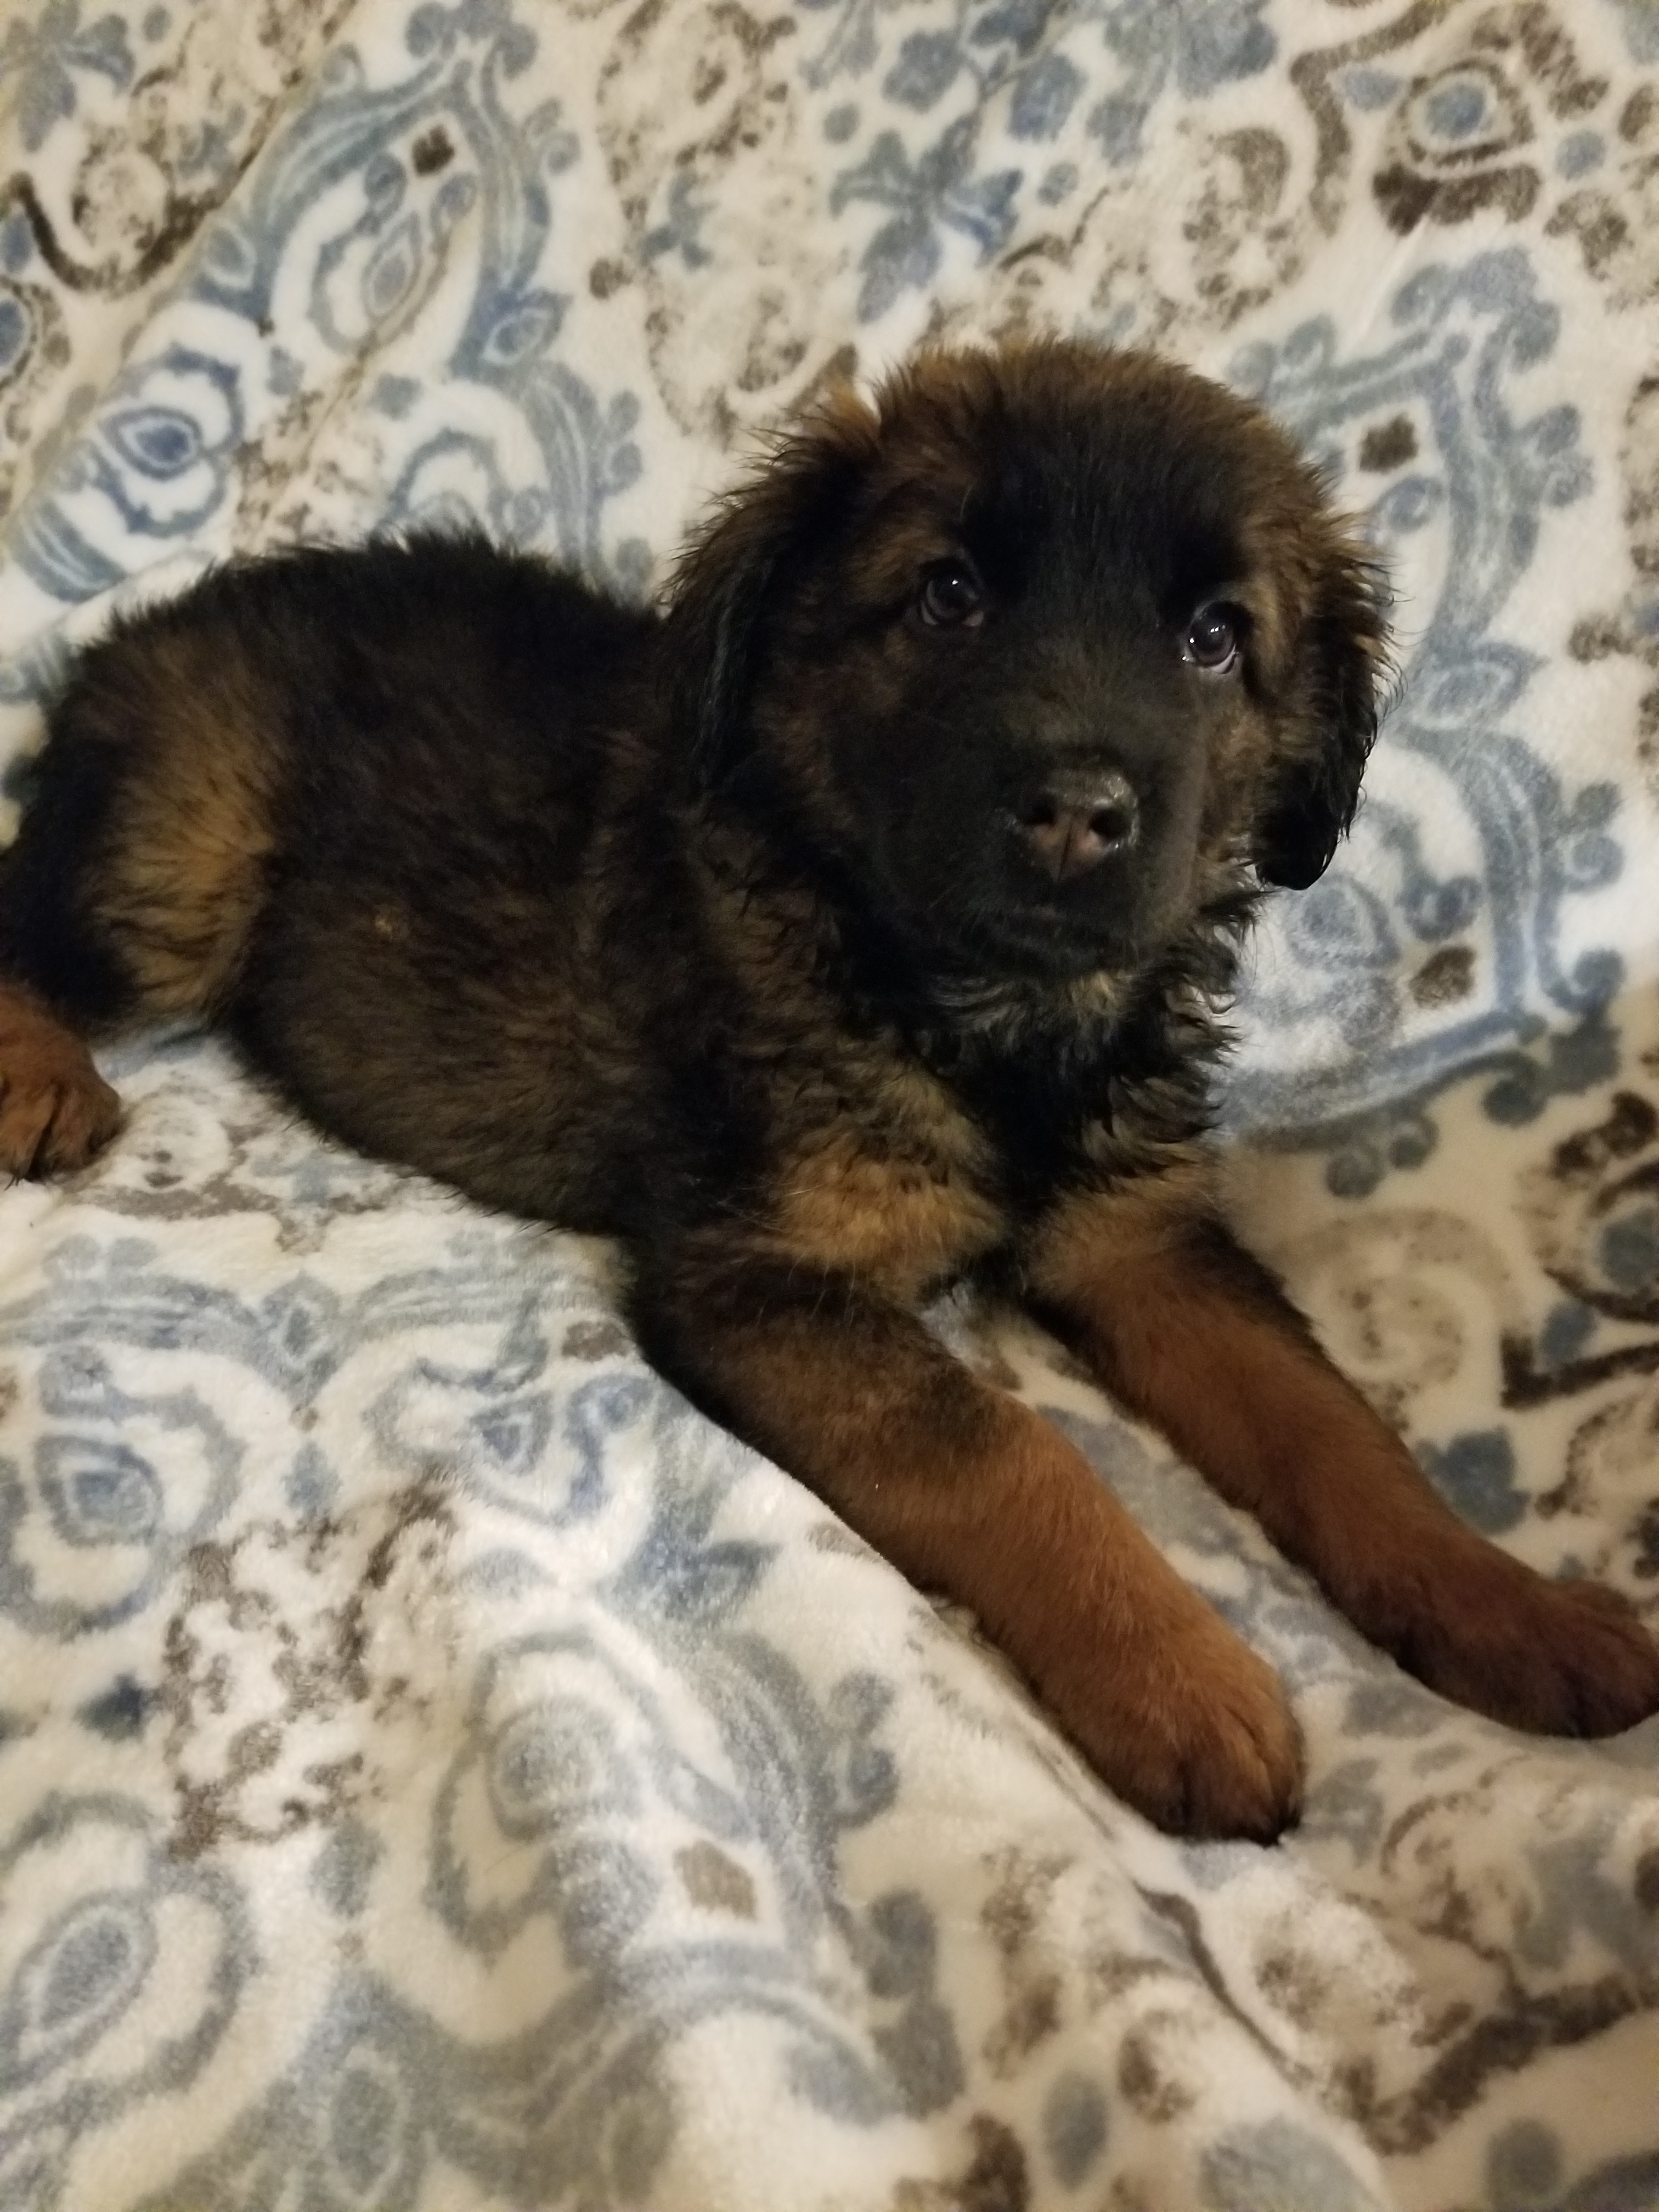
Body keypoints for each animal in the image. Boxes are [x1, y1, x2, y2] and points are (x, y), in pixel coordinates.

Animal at [3, 340, 1659, 1831]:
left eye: (1212, 640)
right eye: (947, 596)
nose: (1077, 811)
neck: (981, 1014)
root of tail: (169, 610)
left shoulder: (1140, 1233)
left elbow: (1336, 1429)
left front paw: (1511, 1607)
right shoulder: (764, 1280)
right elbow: (1017, 1449)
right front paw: (1186, 1680)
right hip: (191, 851)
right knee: (32, 926)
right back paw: (45, 1081)